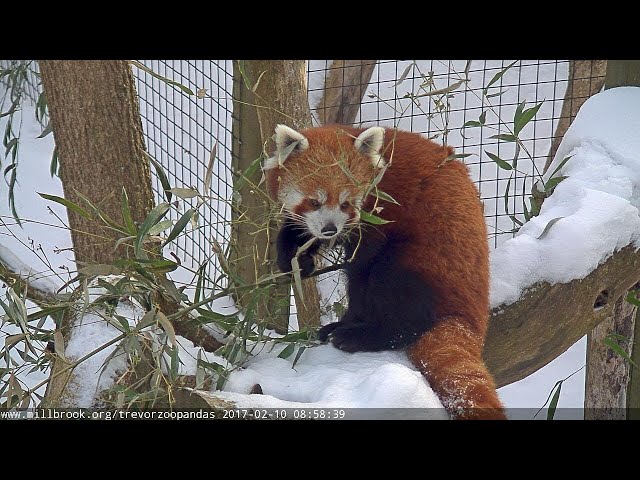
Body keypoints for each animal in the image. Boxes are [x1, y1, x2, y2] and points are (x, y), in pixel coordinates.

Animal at [262, 124, 508, 420]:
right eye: (314, 202)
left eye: (346, 203)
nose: (330, 229)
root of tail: (472, 312)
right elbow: (297, 232)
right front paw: (295, 260)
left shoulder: (384, 212)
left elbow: (360, 272)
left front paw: (352, 318)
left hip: (429, 261)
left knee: (395, 292)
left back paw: (358, 335)